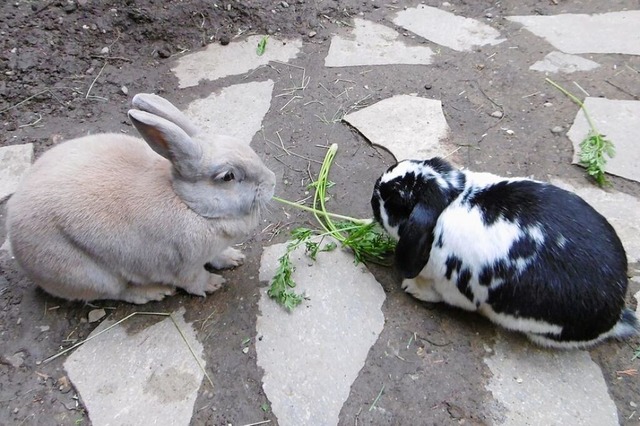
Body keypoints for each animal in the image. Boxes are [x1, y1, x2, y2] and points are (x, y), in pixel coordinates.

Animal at [372, 158, 636, 348]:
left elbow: (437, 292)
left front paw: (412, 287)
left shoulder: (454, 288)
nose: (374, 191)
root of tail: (616, 316)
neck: (451, 199)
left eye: (395, 201)